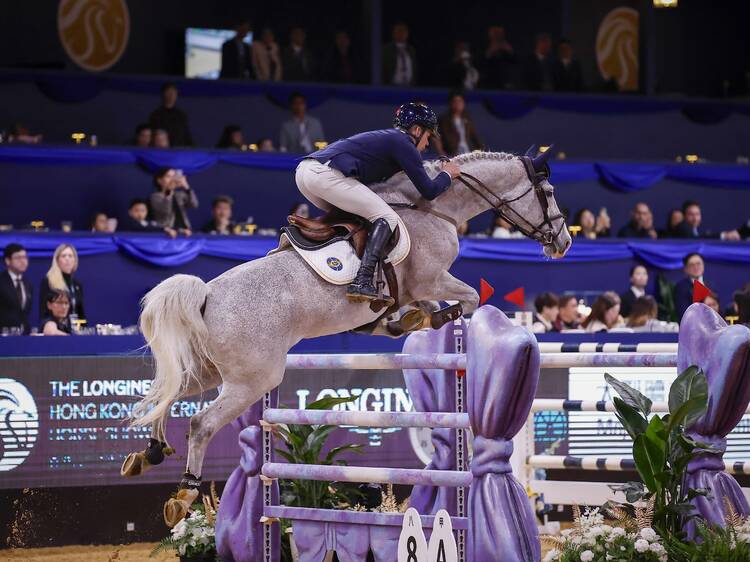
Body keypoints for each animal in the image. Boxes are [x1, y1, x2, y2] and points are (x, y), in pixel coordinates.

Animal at [124, 147, 571, 525]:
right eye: (548, 193)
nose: (565, 242)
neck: (434, 209)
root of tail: (206, 295)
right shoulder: (430, 278)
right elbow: (469, 298)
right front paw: (432, 319)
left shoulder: (415, 289)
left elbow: (418, 309)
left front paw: (402, 322)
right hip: (253, 379)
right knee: (199, 423)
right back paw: (183, 494)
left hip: (211, 371)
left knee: (165, 394)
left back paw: (148, 454)